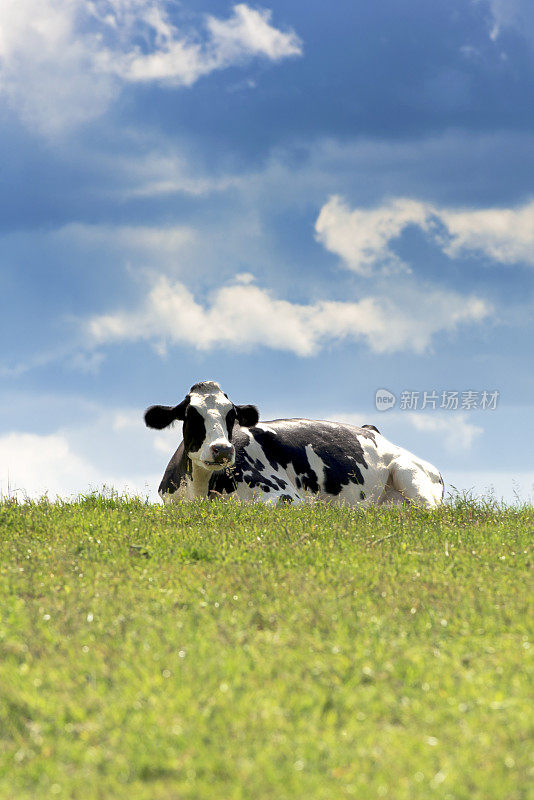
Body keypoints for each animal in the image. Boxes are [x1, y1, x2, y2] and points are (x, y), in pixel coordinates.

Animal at [144, 382, 446, 506]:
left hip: (410, 476)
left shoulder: (285, 496)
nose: (223, 449)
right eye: (191, 415)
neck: (199, 488)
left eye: (232, 415)